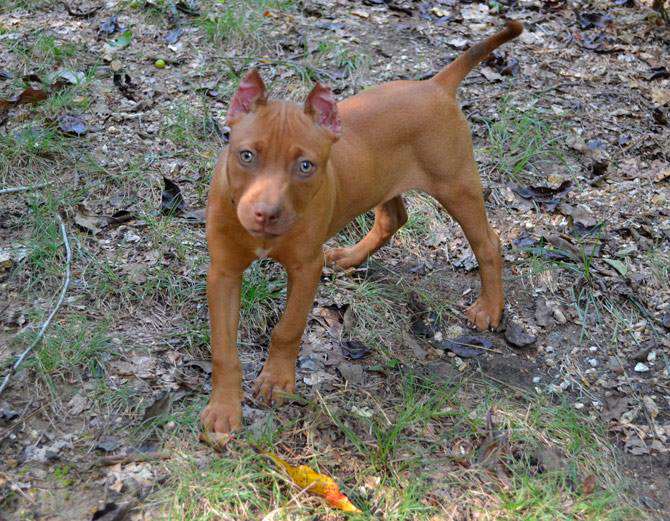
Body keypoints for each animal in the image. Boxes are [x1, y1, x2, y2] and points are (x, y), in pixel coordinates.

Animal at [203, 21, 524, 434]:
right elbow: (224, 349)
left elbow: (288, 329)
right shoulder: (223, 272)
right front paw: (224, 408)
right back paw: (350, 257)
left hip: (457, 186)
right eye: (246, 156)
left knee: (488, 242)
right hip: (382, 180)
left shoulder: (306, 269)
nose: (265, 214)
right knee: (394, 218)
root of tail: (436, 85)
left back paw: (489, 307)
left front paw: (276, 380)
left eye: (305, 166)